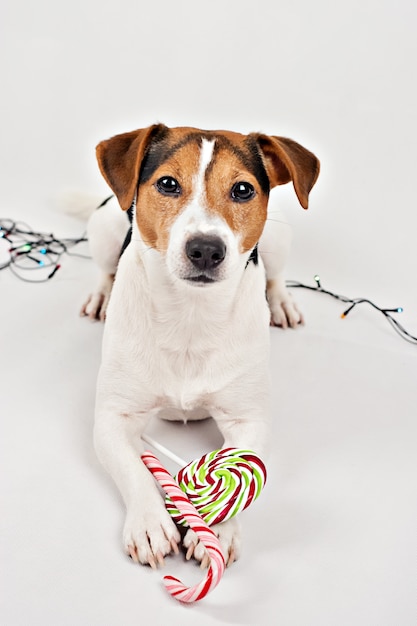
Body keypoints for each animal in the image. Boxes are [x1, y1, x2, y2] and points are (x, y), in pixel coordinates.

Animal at [83, 124, 318, 568]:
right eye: (167, 184)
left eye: (242, 190)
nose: (206, 249)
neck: (189, 314)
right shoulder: (113, 418)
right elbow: (135, 470)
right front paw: (150, 523)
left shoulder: (249, 420)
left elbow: (241, 470)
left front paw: (218, 530)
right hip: (102, 228)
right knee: (104, 268)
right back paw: (100, 296)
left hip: (279, 237)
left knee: (276, 275)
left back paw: (281, 303)